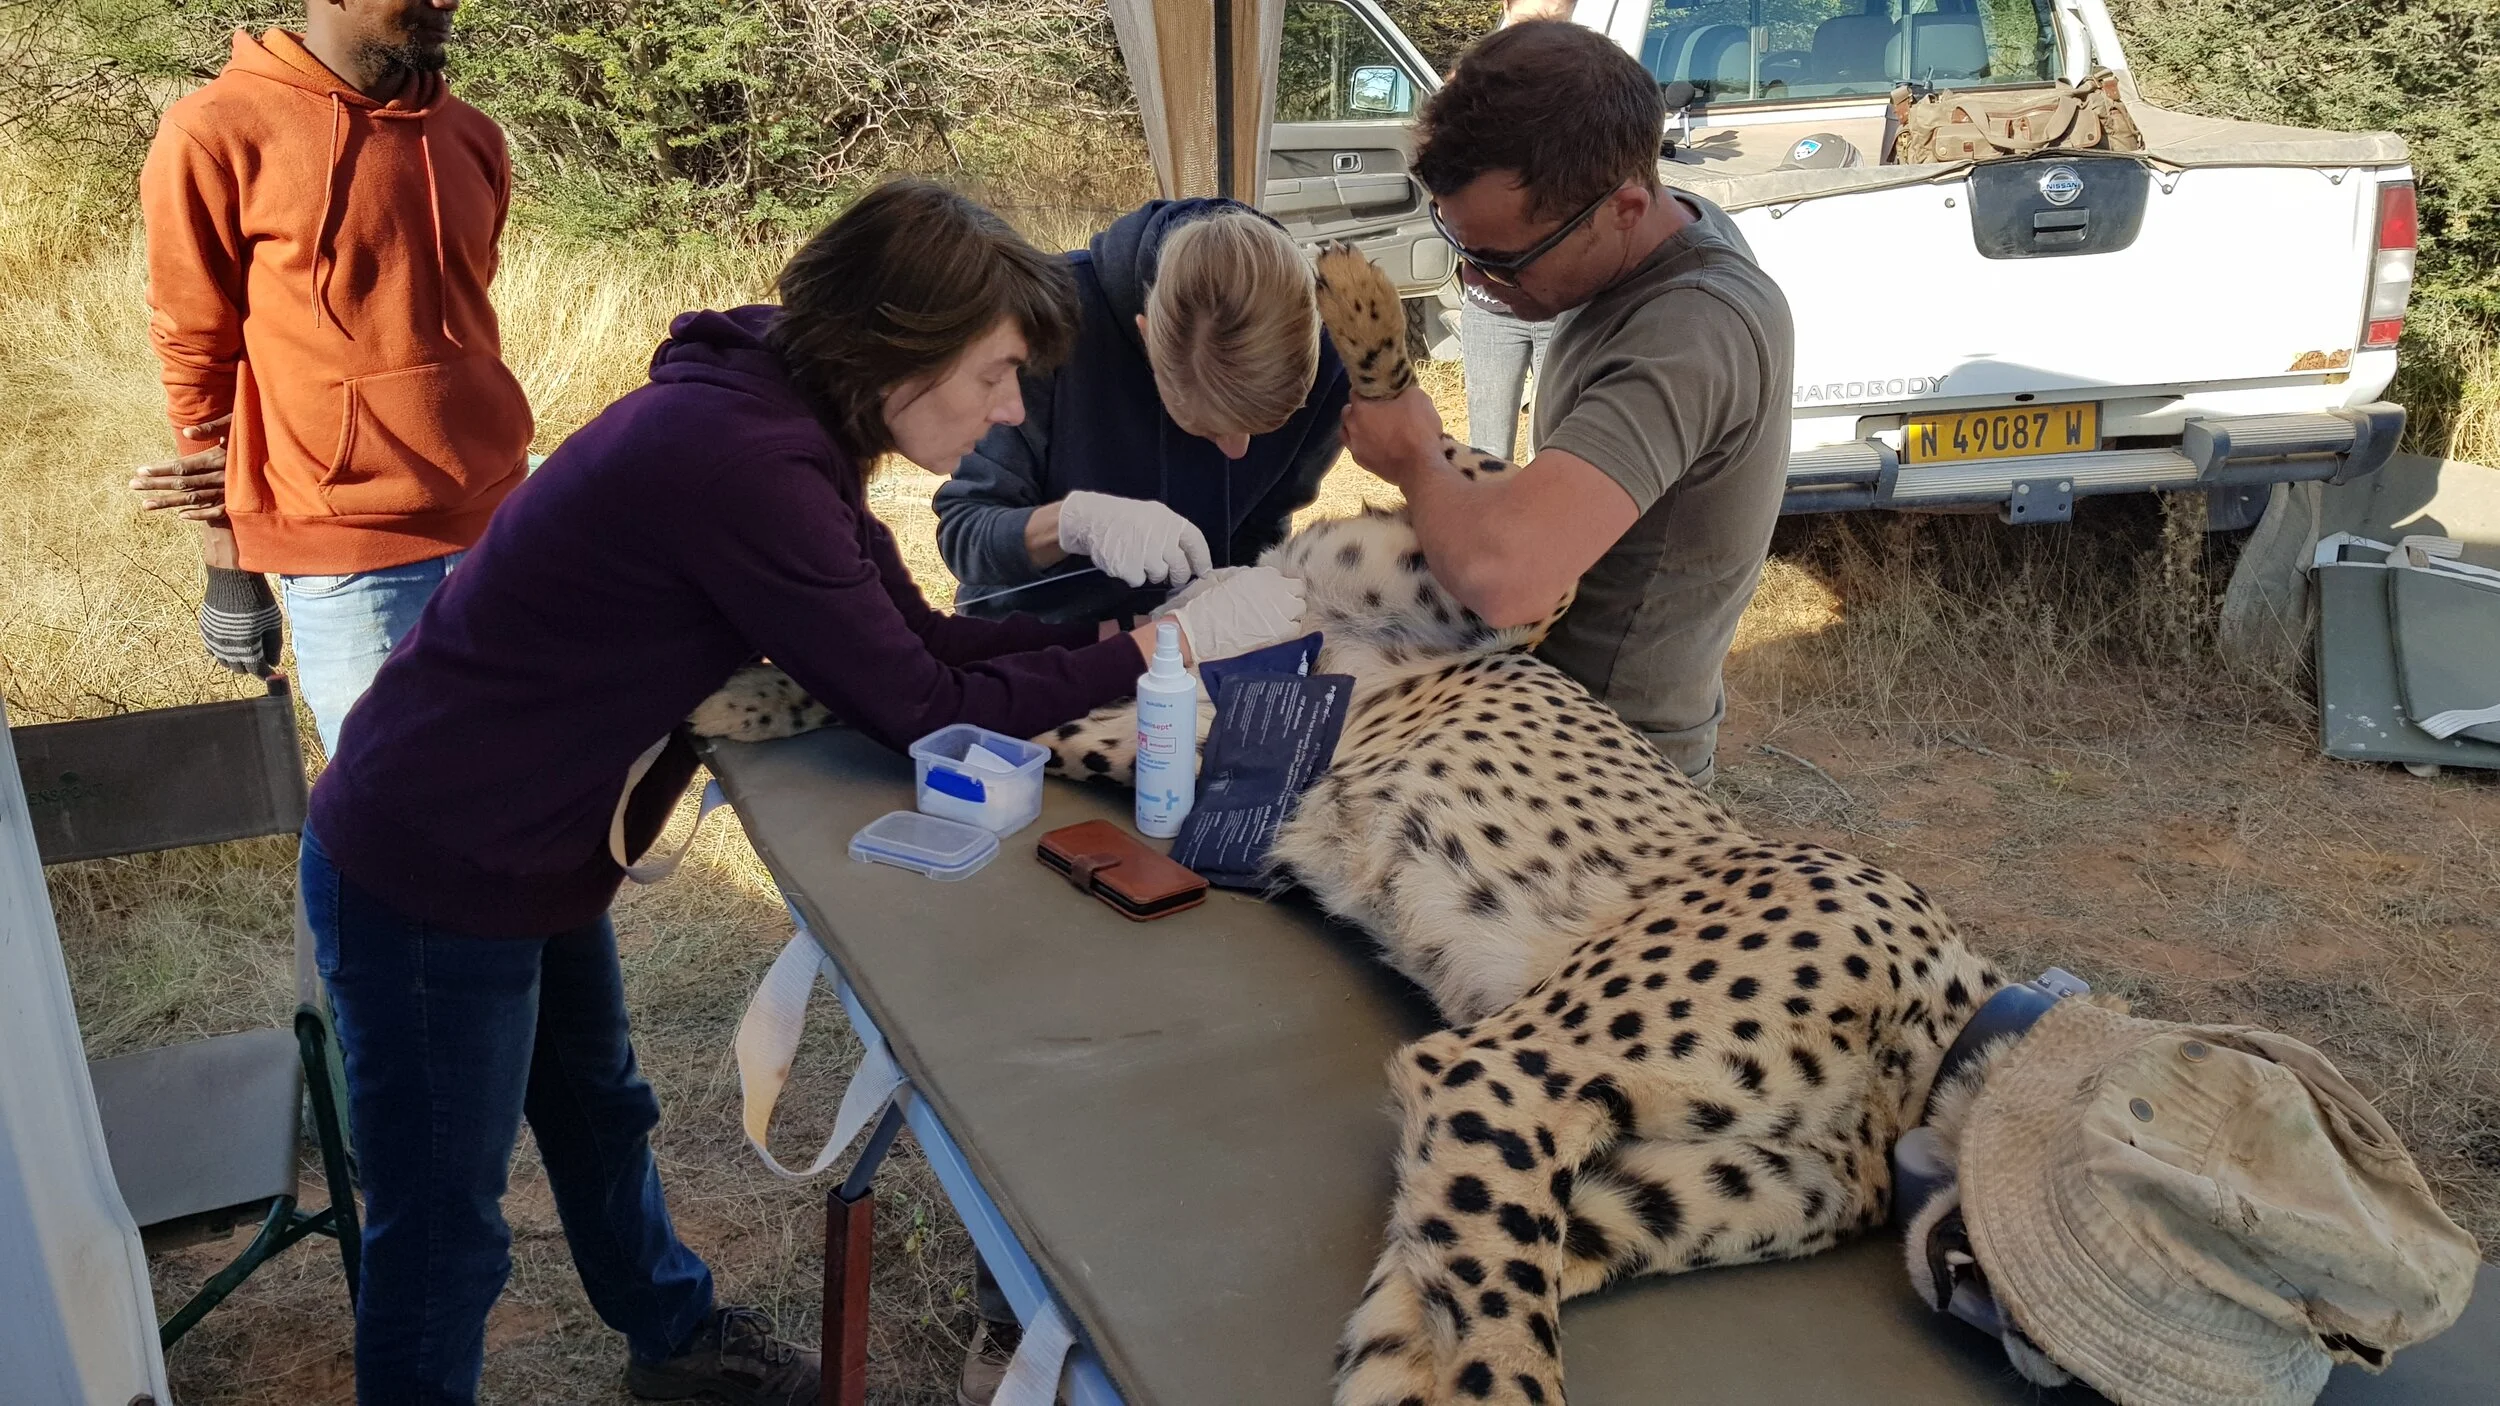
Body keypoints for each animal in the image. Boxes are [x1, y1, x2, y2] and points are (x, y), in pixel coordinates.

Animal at [688, 244, 2007, 1406]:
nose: (1977, 1305)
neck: (1930, 1058)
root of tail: (1291, 608)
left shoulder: (1539, 1163)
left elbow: (1432, 1314)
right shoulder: (1499, 1073)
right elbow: (1508, 1358)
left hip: (1174, 733)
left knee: (971, 686)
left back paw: (746, 694)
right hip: (1477, 587)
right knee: (1457, 487)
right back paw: (1354, 294)